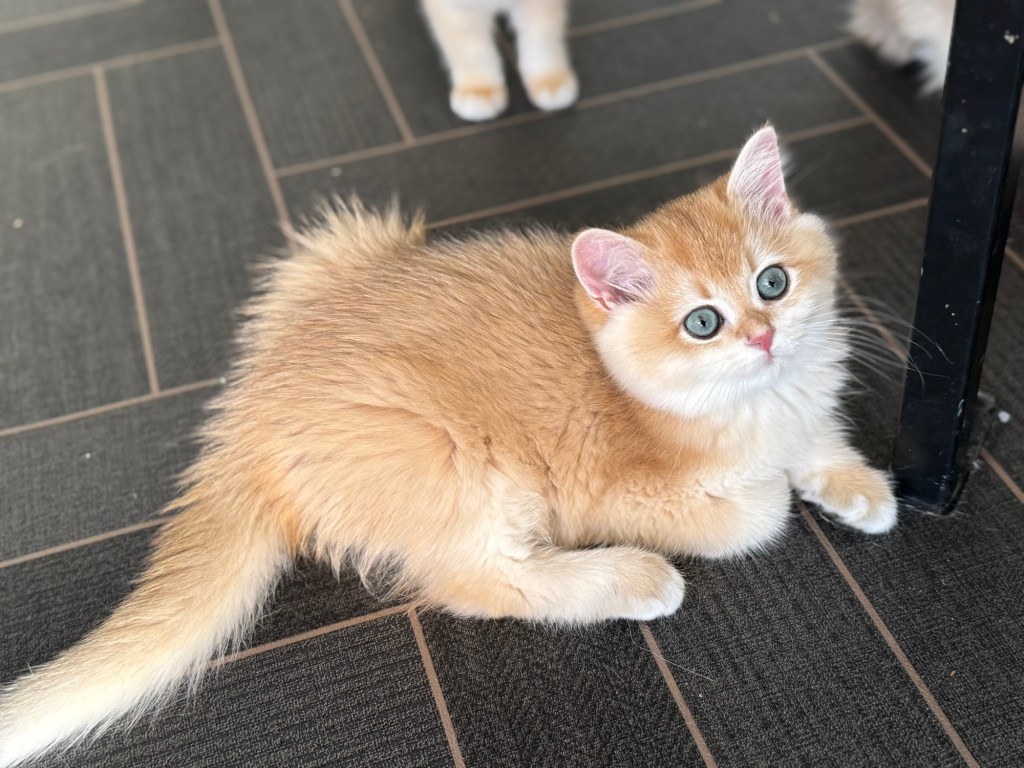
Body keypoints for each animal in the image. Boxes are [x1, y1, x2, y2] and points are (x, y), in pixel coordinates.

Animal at [0, 125, 897, 766]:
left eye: (773, 282)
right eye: (702, 323)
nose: (763, 337)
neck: (749, 405)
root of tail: (245, 418)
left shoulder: (803, 403)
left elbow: (819, 439)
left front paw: (855, 485)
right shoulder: (616, 490)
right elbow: (755, 512)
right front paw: (776, 490)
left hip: (343, 248)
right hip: (451, 458)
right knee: (477, 582)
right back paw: (632, 578)